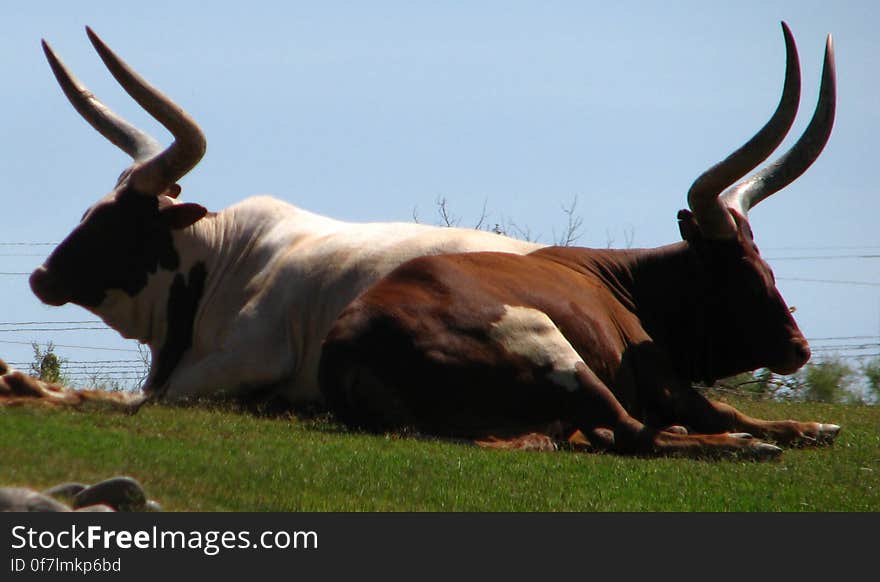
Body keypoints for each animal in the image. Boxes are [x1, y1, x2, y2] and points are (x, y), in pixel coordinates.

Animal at [18, 27, 544, 410]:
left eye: (122, 224)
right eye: (90, 210)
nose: (41, 277)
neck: (224, 262)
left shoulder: (251, 358)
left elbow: (147, 396)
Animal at [320, 24, 844, 460]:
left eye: (768, 267)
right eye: (743, 275)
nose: (799, 349)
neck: (632, 286)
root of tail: (347, 345)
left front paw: (810, 427)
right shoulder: (661, 379)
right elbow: (718, 409)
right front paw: (788, 431)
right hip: (547, 343)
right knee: (632, 433)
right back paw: (741, 445)